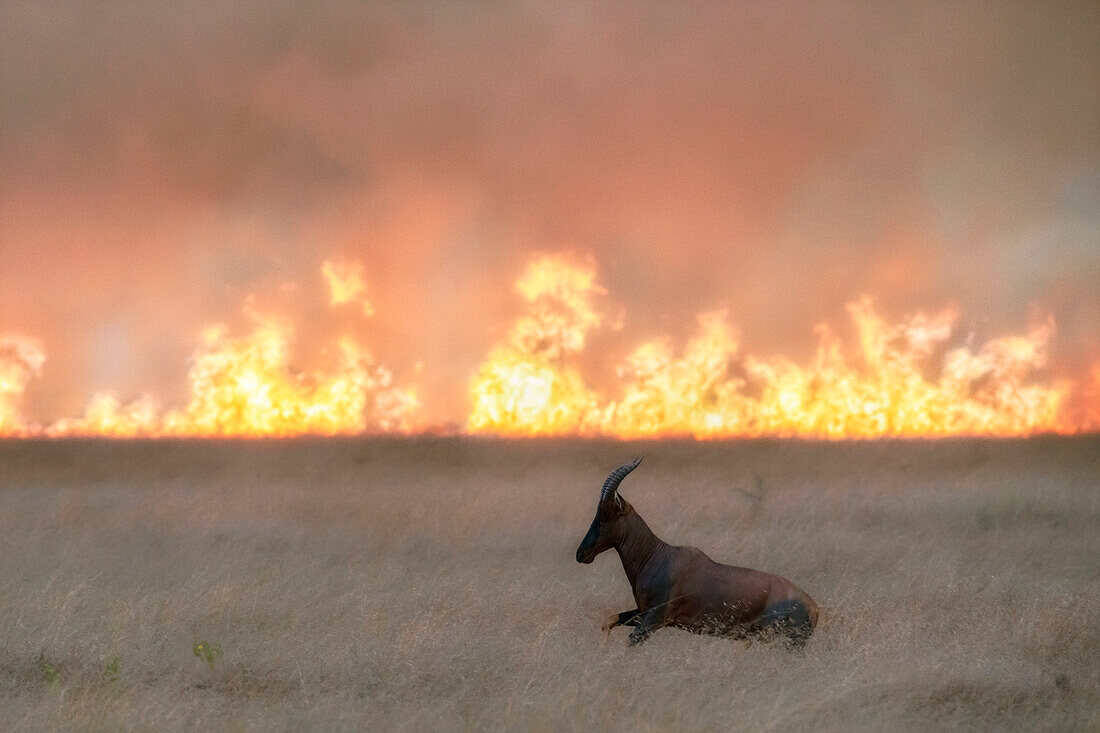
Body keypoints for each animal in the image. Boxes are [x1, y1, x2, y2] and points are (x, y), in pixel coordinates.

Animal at [576, 457, 818, 647]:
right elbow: (608, 621)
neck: (657, 556)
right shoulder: (642, 612)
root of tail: (814, 609)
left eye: (605, 516)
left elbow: (630, 642)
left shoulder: (655, 618)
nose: (581, 554)